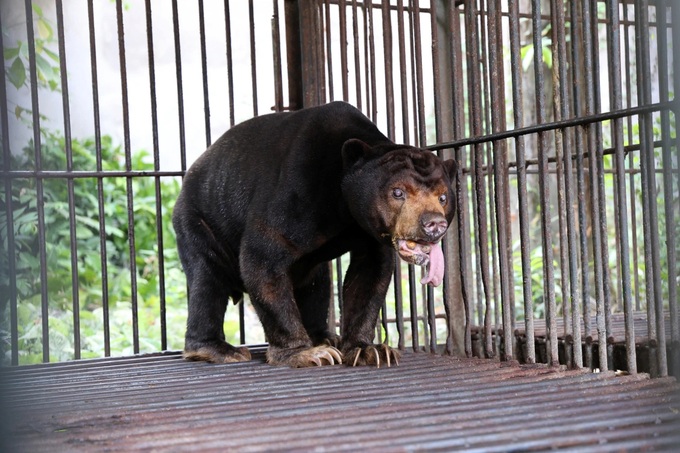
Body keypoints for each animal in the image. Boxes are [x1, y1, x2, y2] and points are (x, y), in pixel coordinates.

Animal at [172, 101, 457, 368]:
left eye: (443, 197)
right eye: (398, 192)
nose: (434, 224)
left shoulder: (371, 231)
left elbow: (369, 275)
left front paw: (369, 350)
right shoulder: (296, 194)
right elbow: (262, 258)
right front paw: (306, 354)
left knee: (316, 284)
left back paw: (324, 336)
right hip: (196, 222)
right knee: (208, 279)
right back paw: (219, 350)